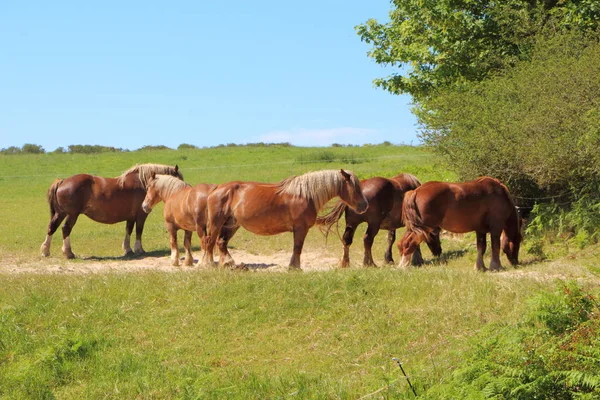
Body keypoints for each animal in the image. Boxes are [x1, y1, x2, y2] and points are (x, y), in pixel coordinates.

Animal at [39, 163, 182, 260]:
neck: (142, 183)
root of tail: (62, 181)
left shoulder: (130, 216)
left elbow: (129, 230)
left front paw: (128, 249)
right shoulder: (141, 215)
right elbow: (139, 231)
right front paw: (139, 249)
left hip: (60, 213)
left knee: (52, 227)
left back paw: (45, 251)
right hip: (72, 214)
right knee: (65, 229)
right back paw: (68, 253)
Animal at [202, 170, 368, 272]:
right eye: (355, 188)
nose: (365, 205)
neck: (305, 195)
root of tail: (216, 189)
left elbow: (297, 248)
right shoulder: (300, 228)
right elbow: (298, 248)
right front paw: (295, 268)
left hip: (232, 224)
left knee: (221, 242)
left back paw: (228, 264)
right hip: (216, 223)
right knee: (210, 242)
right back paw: (208, 265)